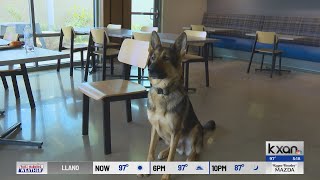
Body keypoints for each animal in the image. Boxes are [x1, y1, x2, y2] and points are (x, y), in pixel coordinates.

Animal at [139, 31, 216, 179]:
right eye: (152, 57)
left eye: (166, 58)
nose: (149, 69)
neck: (163, 92)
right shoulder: (155, 128)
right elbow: (151, 150)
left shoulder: (176, 130)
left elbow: (171, 158)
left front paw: (166, 177)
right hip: (166, 136)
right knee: (172, 148)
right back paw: (164, 151)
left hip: (195, 129)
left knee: (195, 151)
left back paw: (190, 159)